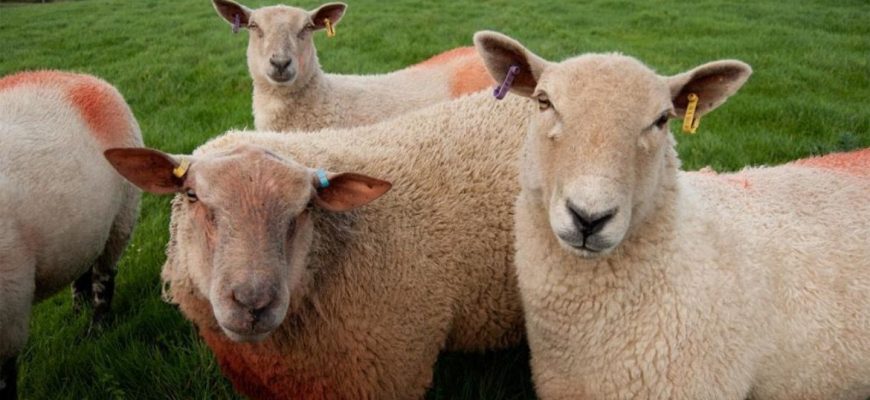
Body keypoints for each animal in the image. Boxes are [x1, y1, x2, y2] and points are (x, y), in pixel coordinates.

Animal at [0, 70, 142, 398]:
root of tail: (85, 77)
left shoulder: (9, 311)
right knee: (82, 268)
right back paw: (78, 310)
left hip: (121, 218)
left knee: (104, 277)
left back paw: (96, 329)